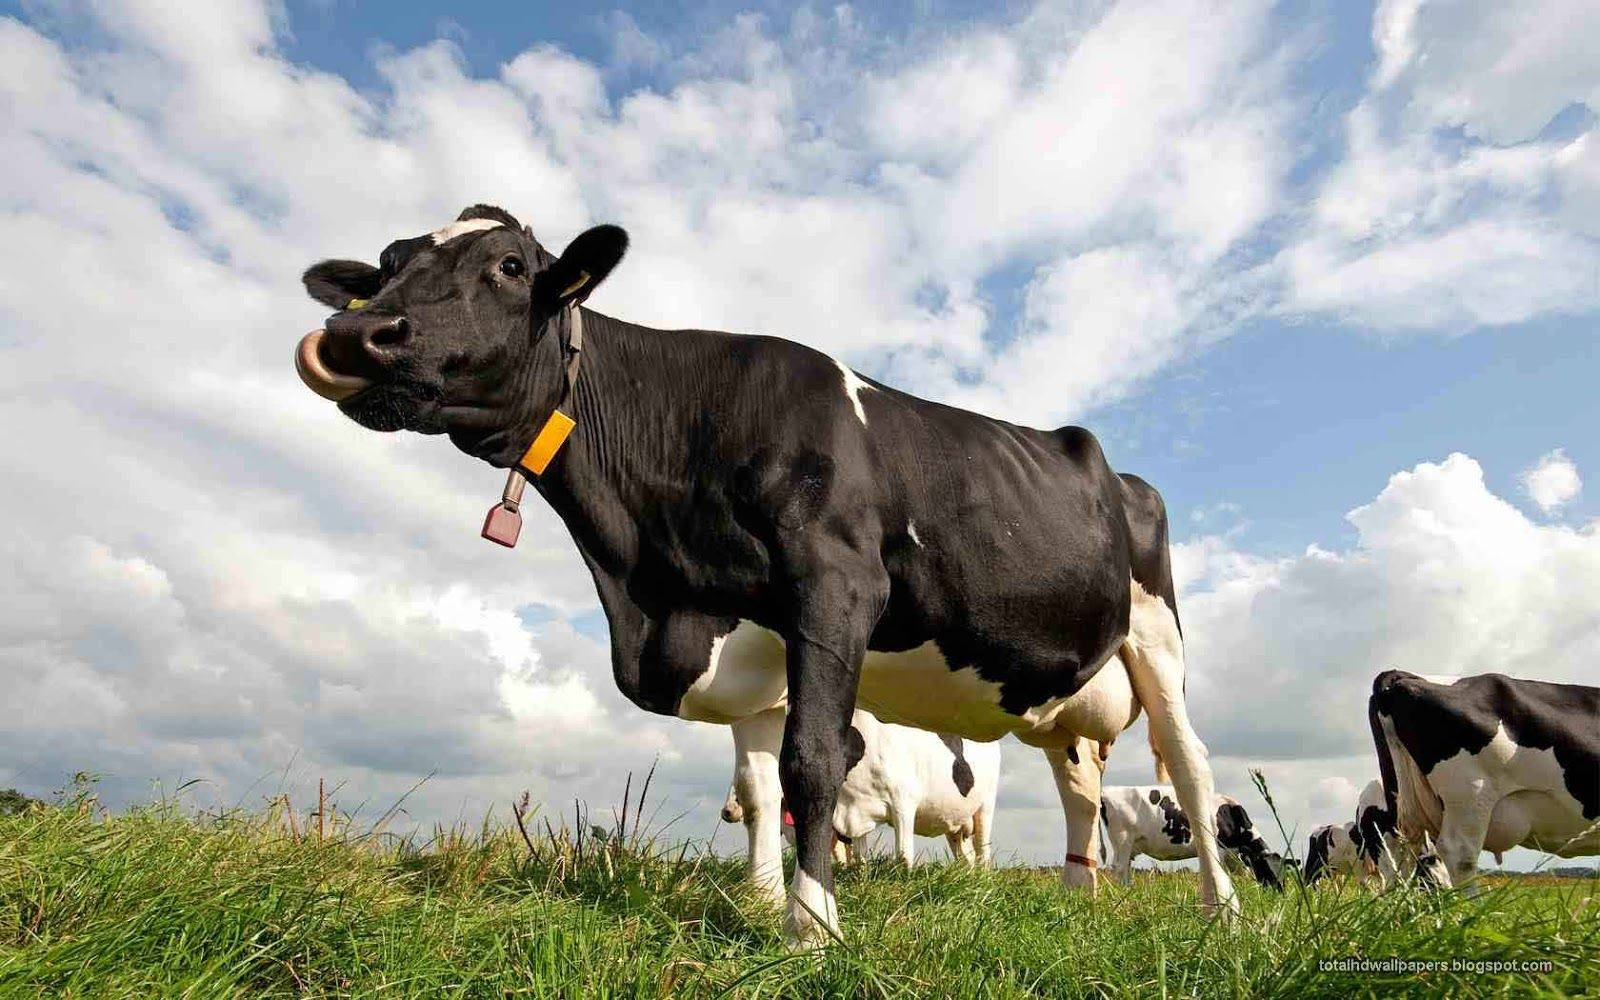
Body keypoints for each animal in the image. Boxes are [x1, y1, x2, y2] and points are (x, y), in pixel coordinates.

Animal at [288, 204, 1235, 940]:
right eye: (386, 265)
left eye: (511, 267)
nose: (354, 336)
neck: (650, 586)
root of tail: (1114, 468)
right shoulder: (749, 648)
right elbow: (754, 785)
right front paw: (760, 901)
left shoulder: (835, 590)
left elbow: (808, 761)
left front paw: (812, 926)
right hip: (1065, 705)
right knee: (1081, 787)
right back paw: (1079, 900)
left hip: (1159, 640)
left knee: (1193, 769)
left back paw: (1221, 912)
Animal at [1100, 784, 1286, 883]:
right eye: (1269, 869)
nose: (1278, 892)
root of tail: (1107, 791)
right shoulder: (1218, 850)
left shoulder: (1233, 856)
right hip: (1122, 840)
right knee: (1119, 868)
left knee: (1125, 869)